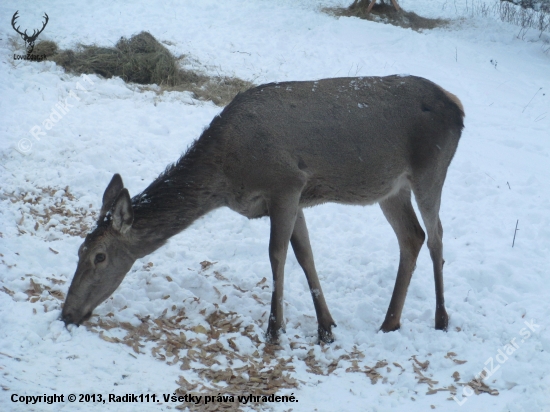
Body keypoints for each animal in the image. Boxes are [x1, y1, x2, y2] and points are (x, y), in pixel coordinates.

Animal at [61, 75, 466, 344]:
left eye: (99, 256)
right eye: (78, 250)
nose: (66, 313)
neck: (227, 176)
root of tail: (457, 105)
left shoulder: (286, 183)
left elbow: (277, 254)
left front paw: (275, 328)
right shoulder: (295, 198)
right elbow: (305, 255)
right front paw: (325, 326)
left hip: (430, 170)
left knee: (436, 235)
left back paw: (441, 318)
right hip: (391, 188)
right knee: (412, 237)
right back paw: (390, 322)